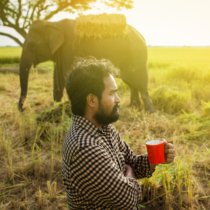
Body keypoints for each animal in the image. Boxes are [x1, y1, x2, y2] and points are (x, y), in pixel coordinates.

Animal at [18, 18, 155, 113]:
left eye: (32, 45)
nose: (23, 109)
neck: (54, 23)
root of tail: (142, 35)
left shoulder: (70, 48)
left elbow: (67, 75)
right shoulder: (61, 53)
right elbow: (57, 77)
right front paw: (54, 107)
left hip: (137, 55)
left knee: (139, 80)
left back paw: (149, 111)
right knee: (131, 82)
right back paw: (133, 107)